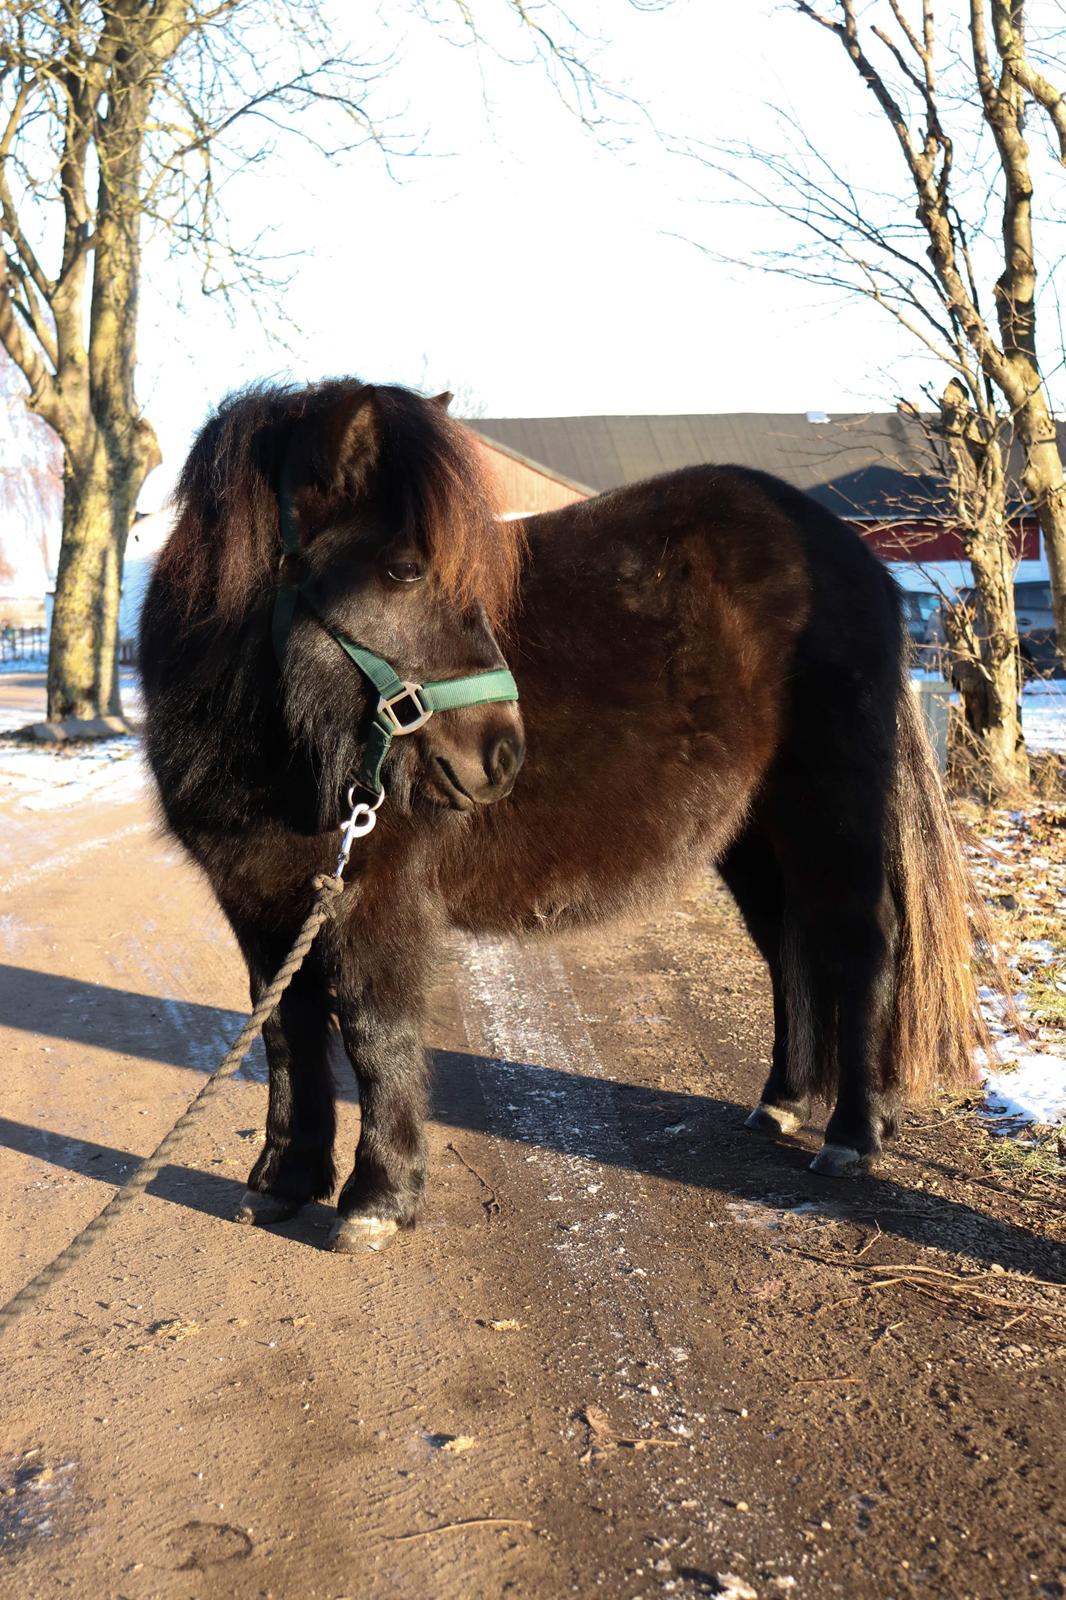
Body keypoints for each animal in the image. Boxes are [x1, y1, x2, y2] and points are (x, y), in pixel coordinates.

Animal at [140, 377, 979, 1248]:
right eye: (404, 570)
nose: (501, 755)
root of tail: (857, 560)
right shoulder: (258, 902)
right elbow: (284, 1030)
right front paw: (284, 1181)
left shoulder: (377, 899)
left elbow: (374, 1032)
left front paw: (377, 1200)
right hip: (753, 836)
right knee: (790, 947)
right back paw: (781, 1102)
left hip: (830, 809)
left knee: (861, 946)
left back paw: (853, 1135)